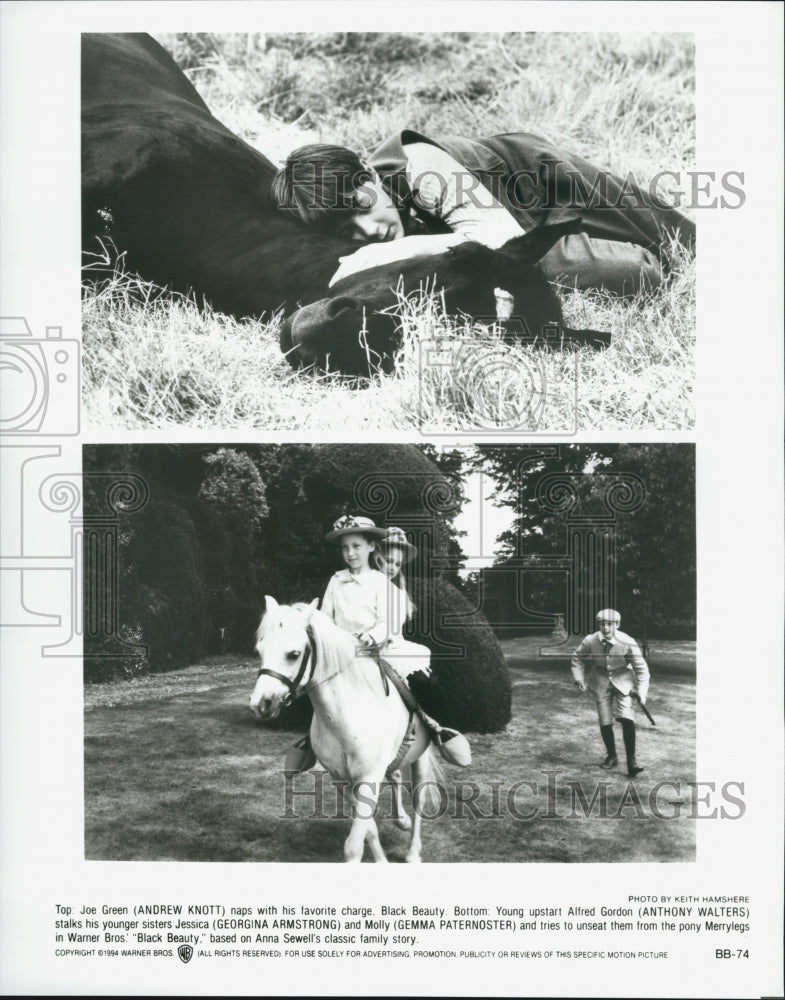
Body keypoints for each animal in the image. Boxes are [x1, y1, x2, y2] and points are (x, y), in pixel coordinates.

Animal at [248, 596, 444, 864]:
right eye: (260, 651)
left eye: (294, 654)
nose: (260, 704)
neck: (343, 719)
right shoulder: (342, 780)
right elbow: (368, 830)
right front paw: (381, 861)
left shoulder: (368, 777)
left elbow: (353, 845)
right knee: (395, 775)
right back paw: (401, 820)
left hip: (421, 757)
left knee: (418, 799)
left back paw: (413, 852)